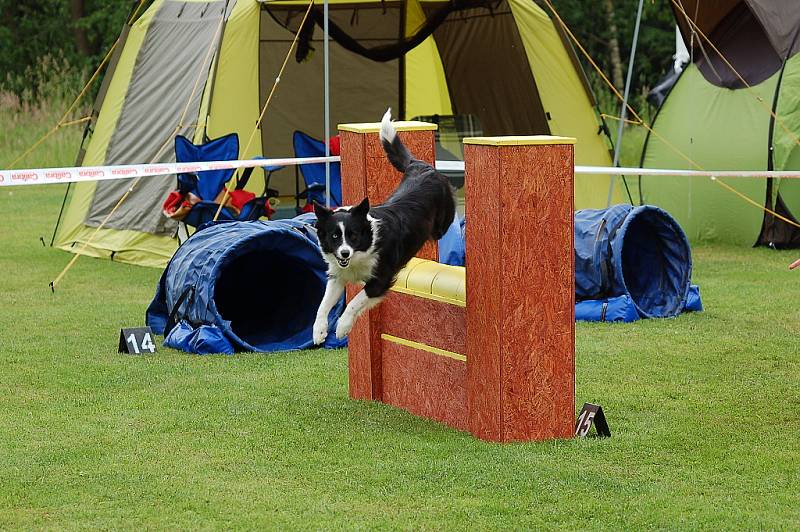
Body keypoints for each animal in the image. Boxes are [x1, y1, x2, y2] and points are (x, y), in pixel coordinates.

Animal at [314, 109, 456, 342]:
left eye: (353, 235)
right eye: (334, 236)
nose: (344, 253)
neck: (365, 247)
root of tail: (419, 164)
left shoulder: (380, 279)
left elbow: (354, 302)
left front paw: (342, 327)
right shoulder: (339, 274)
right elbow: (323, 304)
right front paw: (318, 332)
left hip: (441, 224)